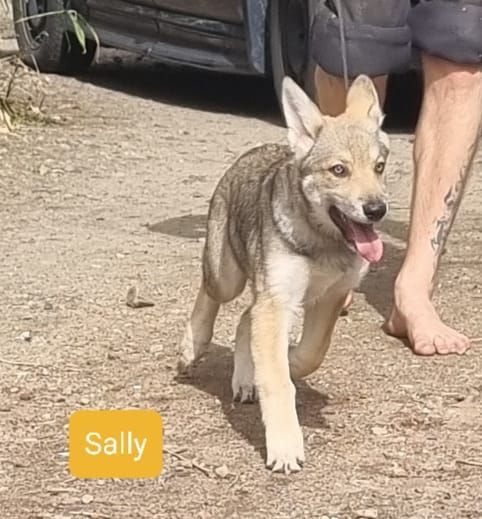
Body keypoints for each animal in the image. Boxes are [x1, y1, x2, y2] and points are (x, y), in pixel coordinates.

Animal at [178, 75, 390, 473]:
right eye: (339, 170)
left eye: (379, 167)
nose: (377, 209)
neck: (324, 244)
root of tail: (255, 151)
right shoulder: (278, 301)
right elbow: (277, 383)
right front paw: (285, 445)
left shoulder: (328, 298)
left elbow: (311, 353)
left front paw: (287, 362)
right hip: (227, 276)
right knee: (209, 295)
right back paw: (191, 346)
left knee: (245, 318)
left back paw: (245, 377)